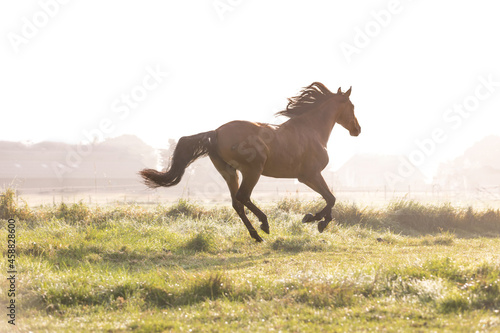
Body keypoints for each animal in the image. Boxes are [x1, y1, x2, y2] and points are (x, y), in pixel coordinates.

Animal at [140, 81, 360, 240]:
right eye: (352, 106)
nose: (357, 129)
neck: (311, 130)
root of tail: (216, 132)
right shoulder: (309, 175)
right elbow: (331, 198)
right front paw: (314, 219)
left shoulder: (310, 176)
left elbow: (330, 198)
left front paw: (318, 221)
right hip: (252, 171)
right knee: (243, 196)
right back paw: (264, 224)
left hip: (229, 172)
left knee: (236, 203)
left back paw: (255, 235)